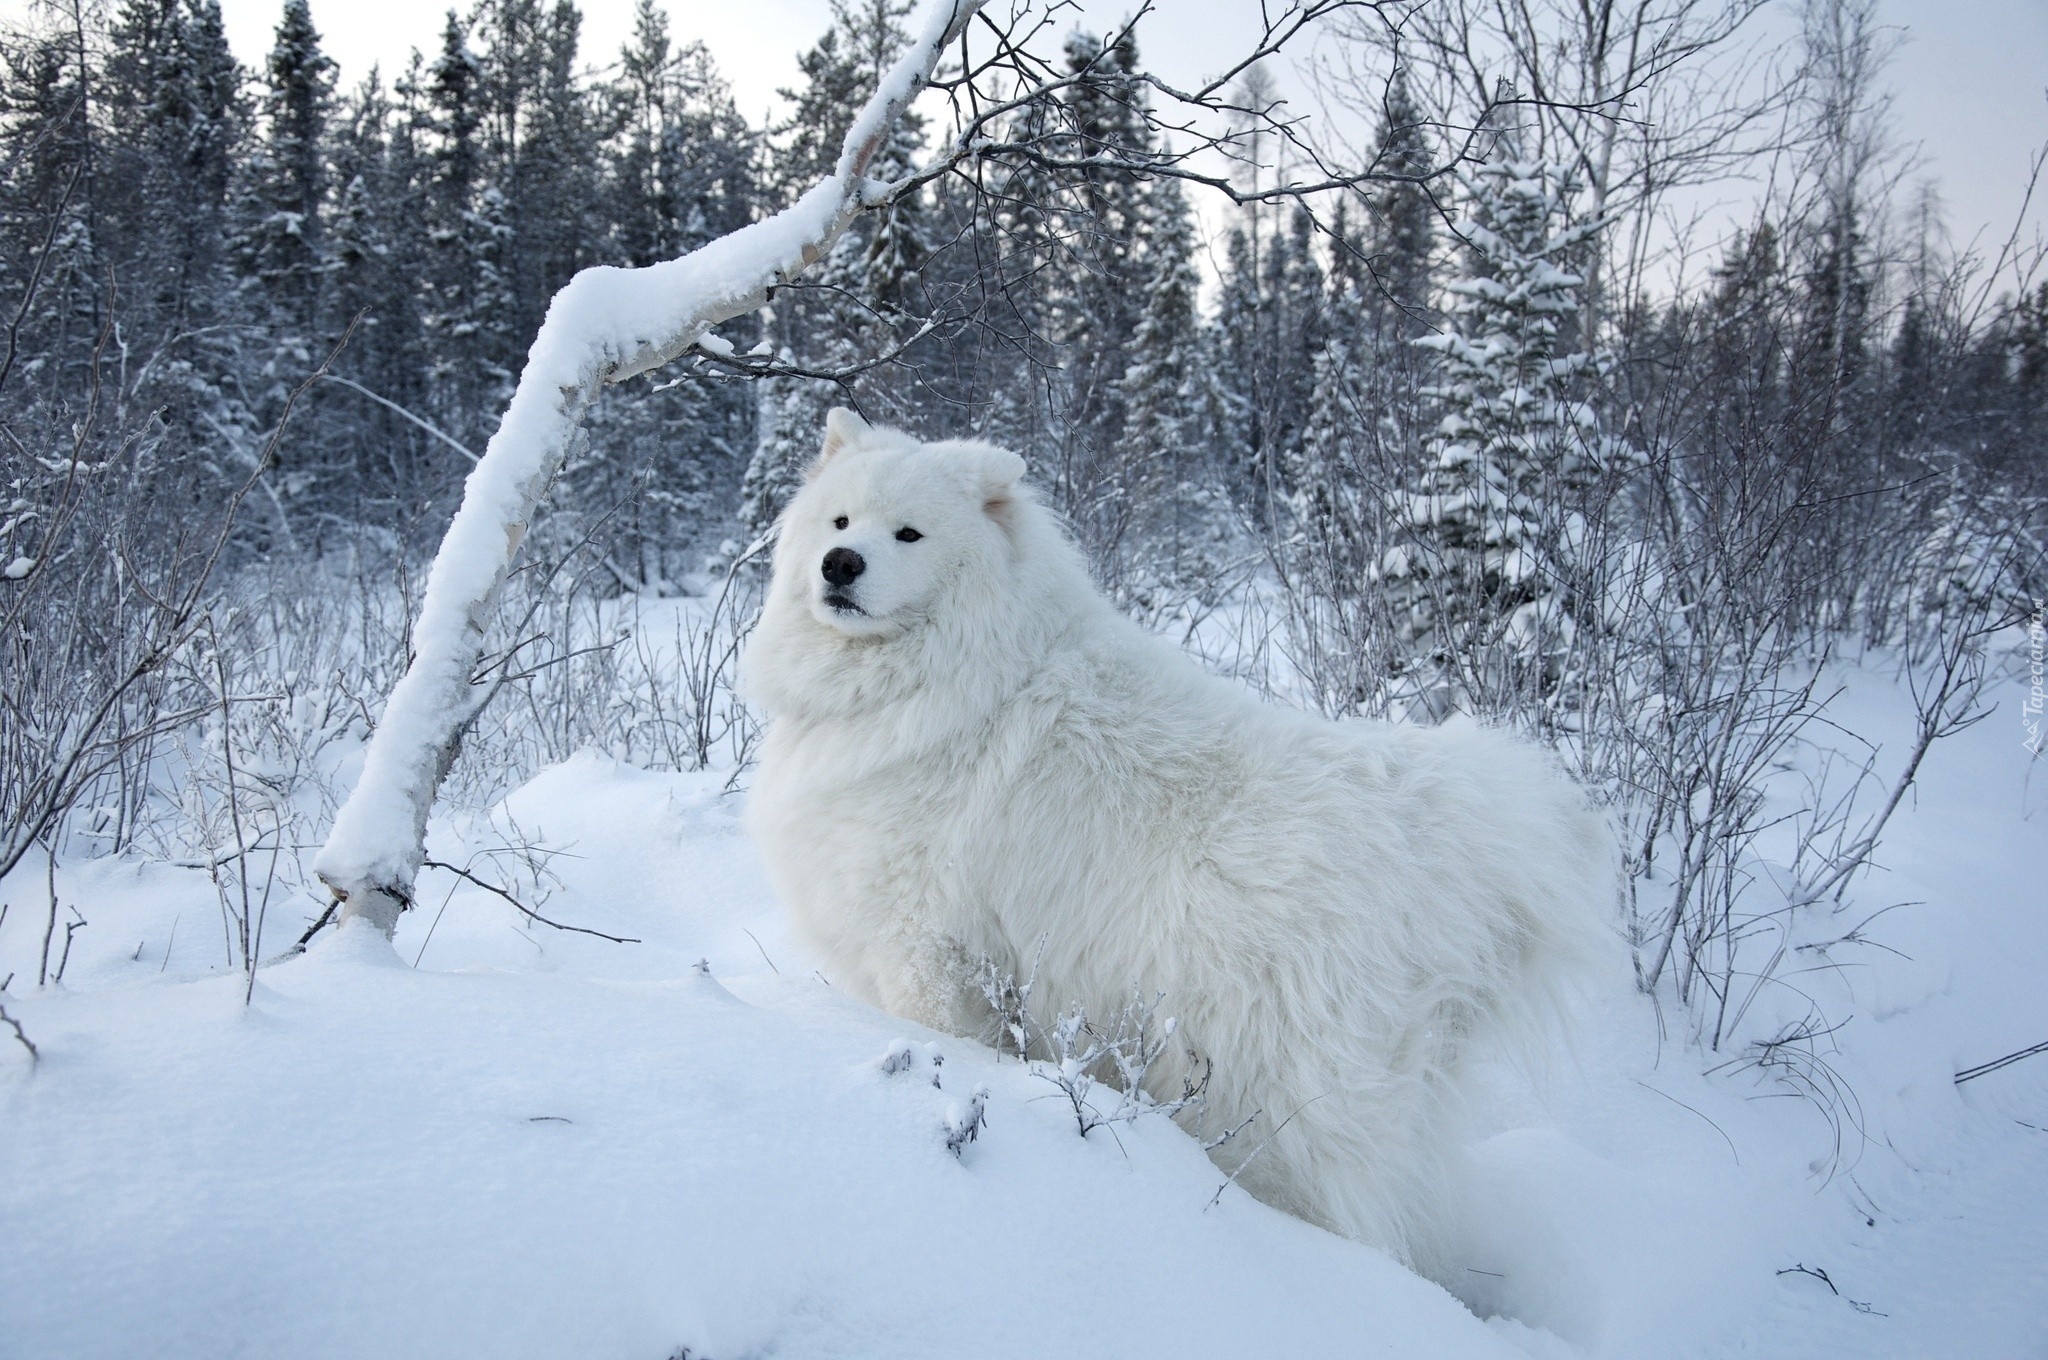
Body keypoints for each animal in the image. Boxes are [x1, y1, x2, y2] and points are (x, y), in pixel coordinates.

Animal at [741, 405, 1613, 1278]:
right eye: (840, 521)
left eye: (909, 533)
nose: (840, 564)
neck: (944, 675)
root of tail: (1433, 825)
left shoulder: (927, 952)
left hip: (1271, 1097)